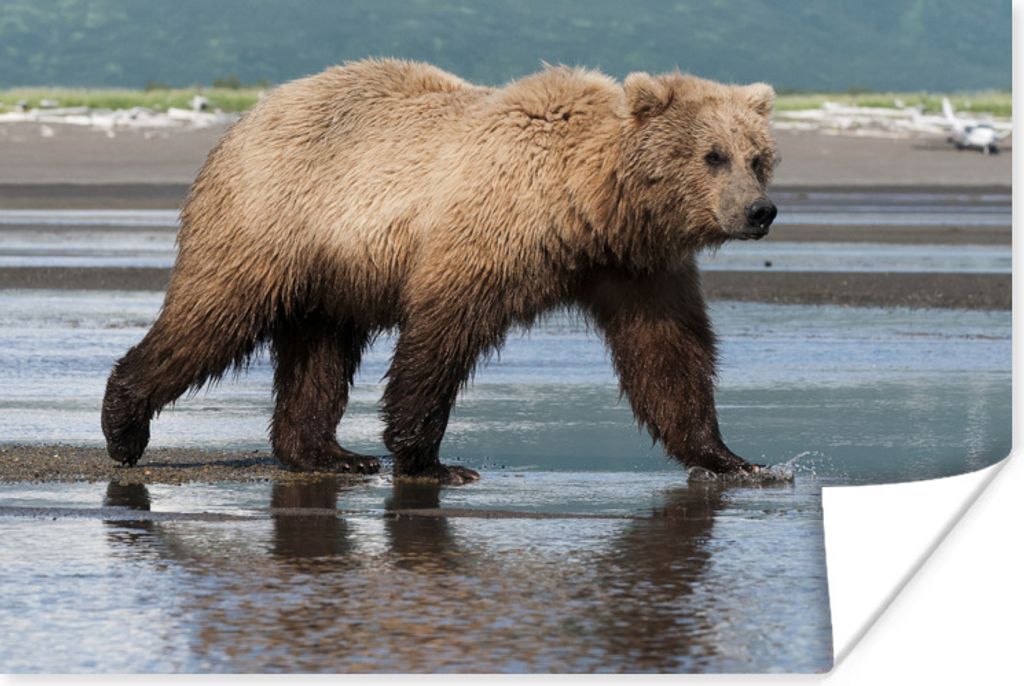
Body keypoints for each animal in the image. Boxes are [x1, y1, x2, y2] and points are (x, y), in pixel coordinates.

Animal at [101, 59, 778, 484]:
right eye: (711, 155)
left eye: (757, 157)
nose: (760, 211)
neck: (587, 204)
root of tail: (243, 122)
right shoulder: (492, 229)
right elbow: (443, 333)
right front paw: (431, 461)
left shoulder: (637, 267)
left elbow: (668, 354)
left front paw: (737, 460)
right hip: (272, 222)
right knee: (212, 317)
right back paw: (124, 427)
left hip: (332, 270)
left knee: (319, 354)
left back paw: (328, 454)